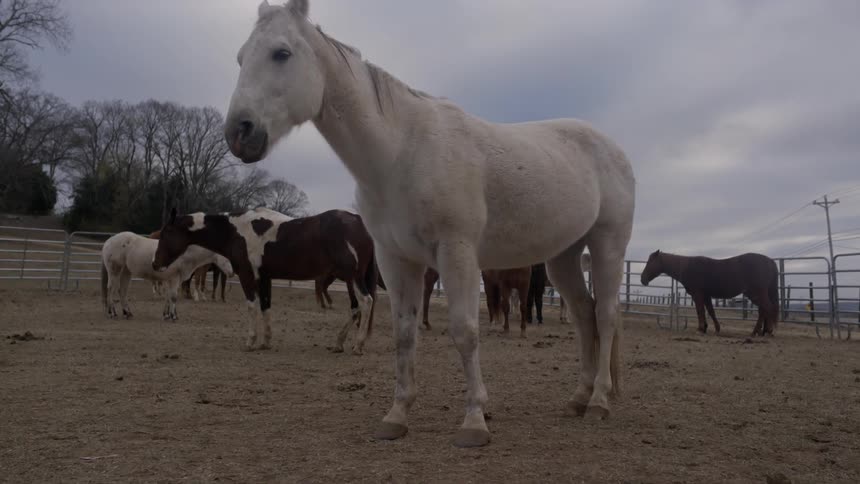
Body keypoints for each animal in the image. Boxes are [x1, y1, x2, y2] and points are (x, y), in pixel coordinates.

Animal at [101, 232, 233, 320]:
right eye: (227, 256)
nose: (232, 273)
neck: (185, 254)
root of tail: (109, 241)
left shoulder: (172, 279)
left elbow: (169, 296)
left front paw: (167, 314)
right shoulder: (174, 278)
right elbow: (173, 297)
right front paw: (173, 316)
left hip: (126, 272)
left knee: (122, 291)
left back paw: (127, 312)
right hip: (114, 271)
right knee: (111, 289)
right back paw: (112, 312)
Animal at [152, 207, 379, 354]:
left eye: (166, 233)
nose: (155, 263)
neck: (236, 231)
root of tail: (359, 223)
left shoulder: (247, 275)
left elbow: (252, 306)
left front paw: (251, 341)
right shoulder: (265, 278)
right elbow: (265, 307)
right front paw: (266, 342)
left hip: (353, 278)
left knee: (366, 302)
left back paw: (358, 345)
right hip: (349, 280)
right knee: (355, 307)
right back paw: (339, 343)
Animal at [225, 0, 635, 447]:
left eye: (281, 53)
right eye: (240, 57)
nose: (239, 132)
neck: (402, 152)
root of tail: (613, 149)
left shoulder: (457, 253)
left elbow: (465, 330)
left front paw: (474, 421)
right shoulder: (396, 259)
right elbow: (404, 334)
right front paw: (396, 416)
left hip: (607, 246)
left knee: (605, 316)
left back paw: (599, 402)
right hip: (563, 257)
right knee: (583, 315)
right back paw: (579, 398)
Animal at [640, 250, 779, 336]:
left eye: (650, 262)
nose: (642, 279)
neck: (689, 268)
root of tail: (770, 261)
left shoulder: (698, 295)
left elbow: (700, 311)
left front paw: (700, 329)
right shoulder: (706, 296)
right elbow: (711, 311)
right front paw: (714, 329)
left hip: (757, 293)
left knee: (767, 308)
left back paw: (759, 332)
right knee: (764, 310)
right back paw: (763, 331)